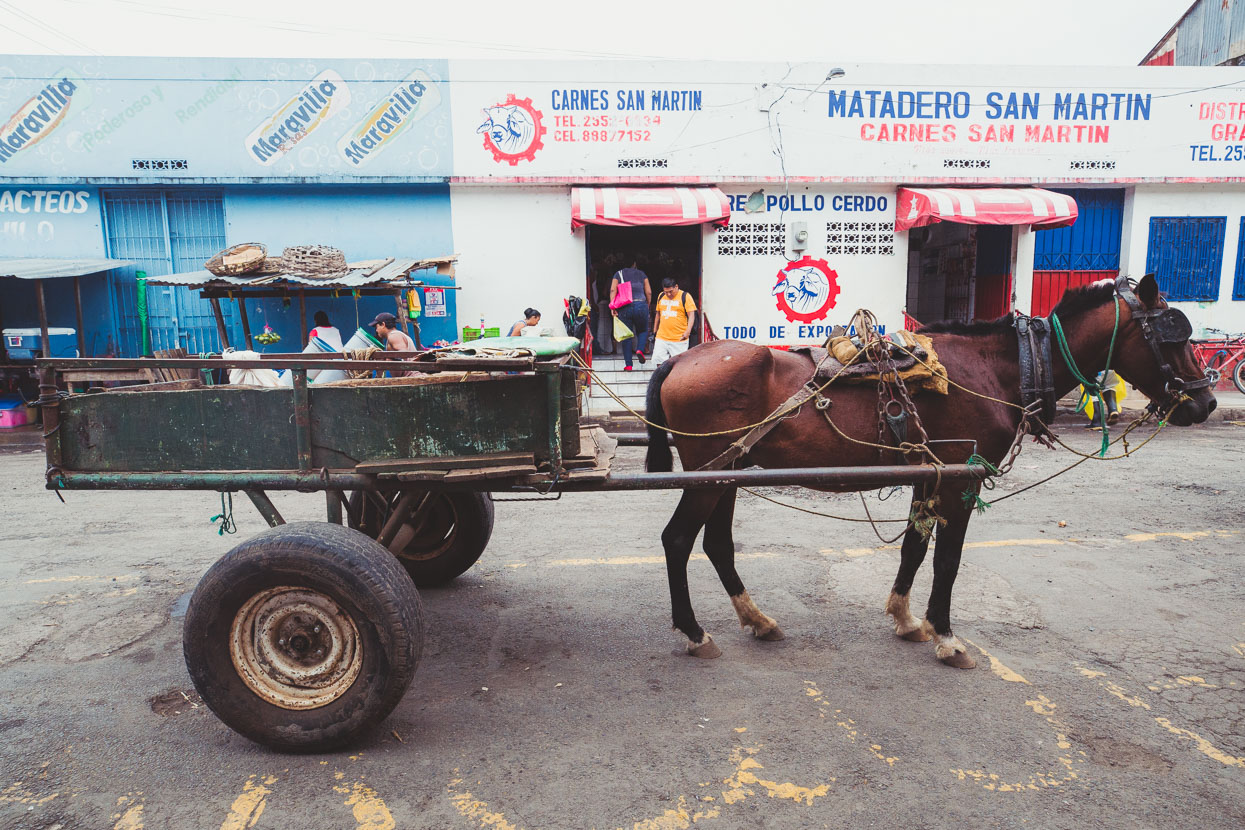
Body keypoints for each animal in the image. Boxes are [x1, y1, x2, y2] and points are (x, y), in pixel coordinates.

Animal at [647, 277, 1210, 666]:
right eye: (1172, 336)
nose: (1203, 402)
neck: (997, 369)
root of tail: (682, 360)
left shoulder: (930, 476)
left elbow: (914, 550)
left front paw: (905, 618)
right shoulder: (962, 480)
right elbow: (948, 561)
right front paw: (946, 635)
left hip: (727, 473)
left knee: (716, 544)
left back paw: (757, 620)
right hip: (711, 475)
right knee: (677, 539)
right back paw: (694, 632)